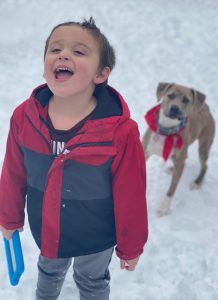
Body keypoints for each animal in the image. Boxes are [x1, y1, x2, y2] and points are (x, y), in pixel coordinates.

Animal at [142, 82, 215, 216]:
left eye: (186, 100)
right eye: (170, 95)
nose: (175, 108)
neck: (167, 131)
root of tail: (206, 109)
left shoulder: (180, 160)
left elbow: (171, 190)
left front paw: (164, 209)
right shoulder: (145, 151)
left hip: (203, 146)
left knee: (204, 165)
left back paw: (197, 182)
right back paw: (172, 169)